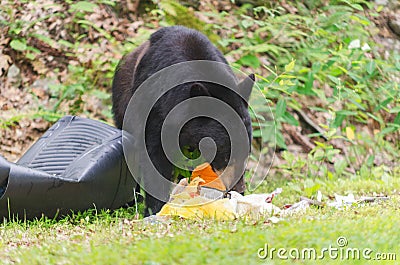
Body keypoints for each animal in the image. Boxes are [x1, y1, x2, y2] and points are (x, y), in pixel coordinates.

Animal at [111, 25, 253, 214]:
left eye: (247, 151)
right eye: (225, 153)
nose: (239, 190)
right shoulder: (155, 112)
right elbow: (153, 156)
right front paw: (155, 208)